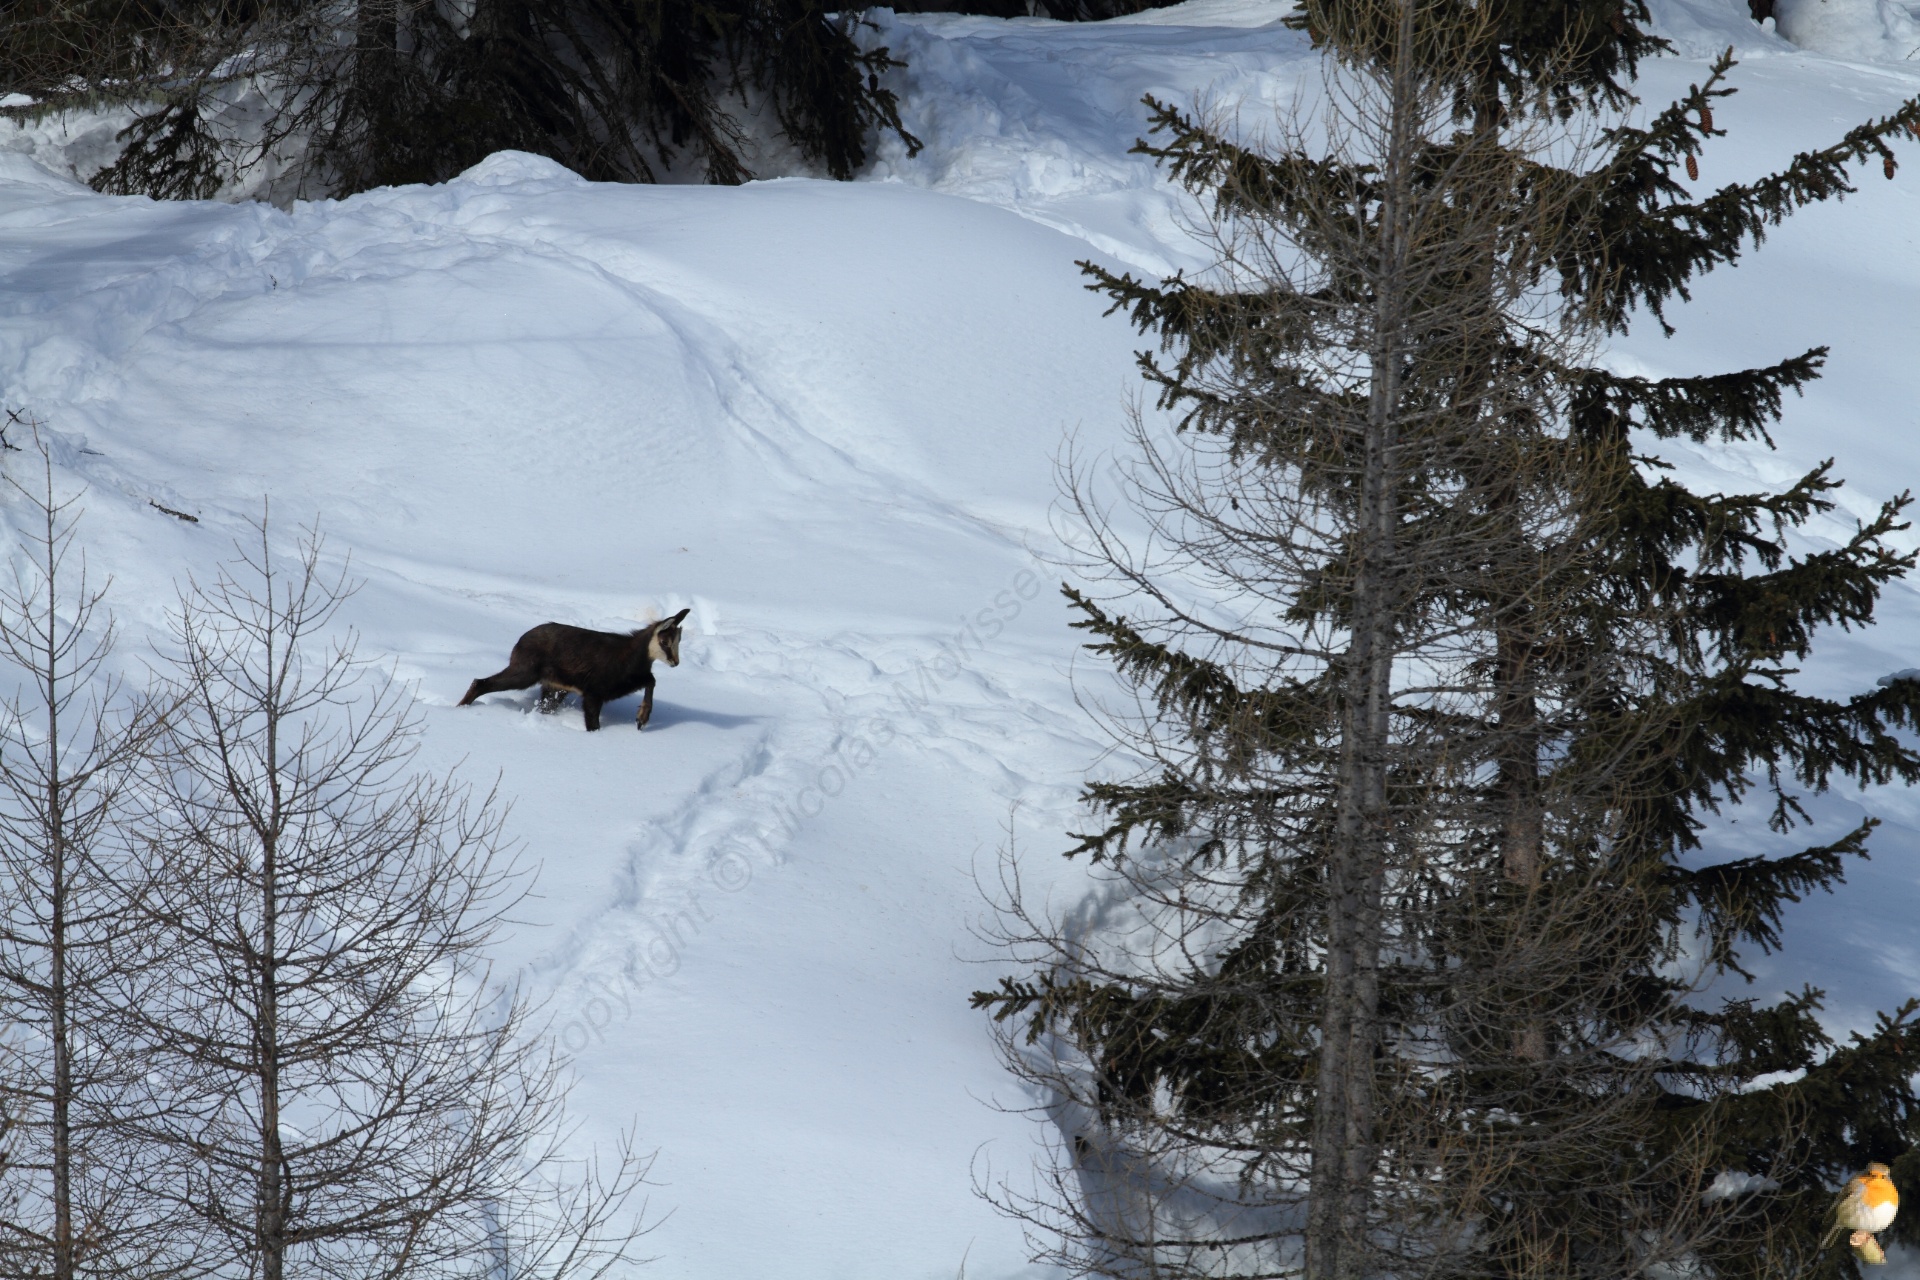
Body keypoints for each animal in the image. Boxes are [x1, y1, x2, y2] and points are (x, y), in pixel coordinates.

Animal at [458, 609, 691, 731]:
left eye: (679, 641)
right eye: (664, 642)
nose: (675, 662)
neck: (630, 657)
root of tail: (520, 642)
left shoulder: (634, 679)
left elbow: (651, 680)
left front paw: (642, 718)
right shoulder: (593, 693)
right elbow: (593, 723)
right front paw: (641, 718)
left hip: (555, 688)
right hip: (525, 672)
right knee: (481, 682)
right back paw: (461, 707)